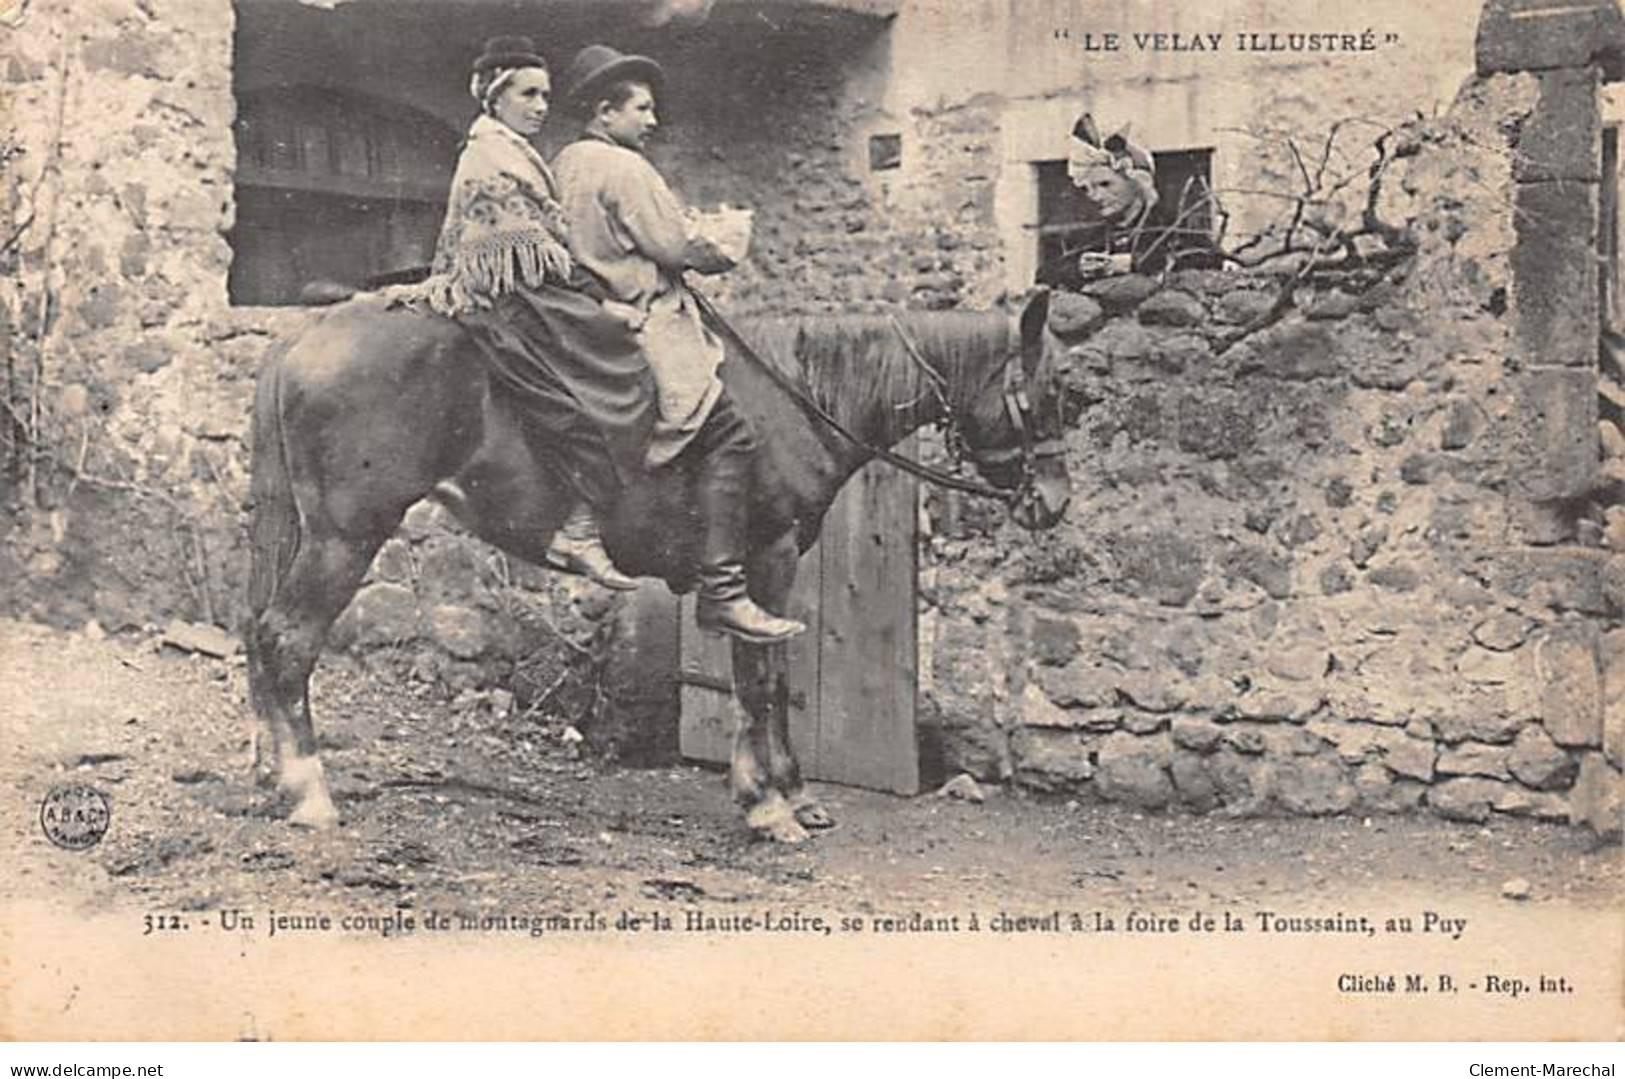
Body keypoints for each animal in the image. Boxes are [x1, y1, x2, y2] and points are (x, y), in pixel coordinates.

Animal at [243, 286, 1066, 845]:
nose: (1053, 502)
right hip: (345, 537)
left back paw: (271, 774)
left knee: (260, 636)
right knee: (287, 640)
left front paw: (791, 793)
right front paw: (768, 804)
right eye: (1048, 394)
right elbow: (758, 681)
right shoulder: (763, 562)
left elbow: (772, 676)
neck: (794, 397)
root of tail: (302, 337)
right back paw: (309, 791)